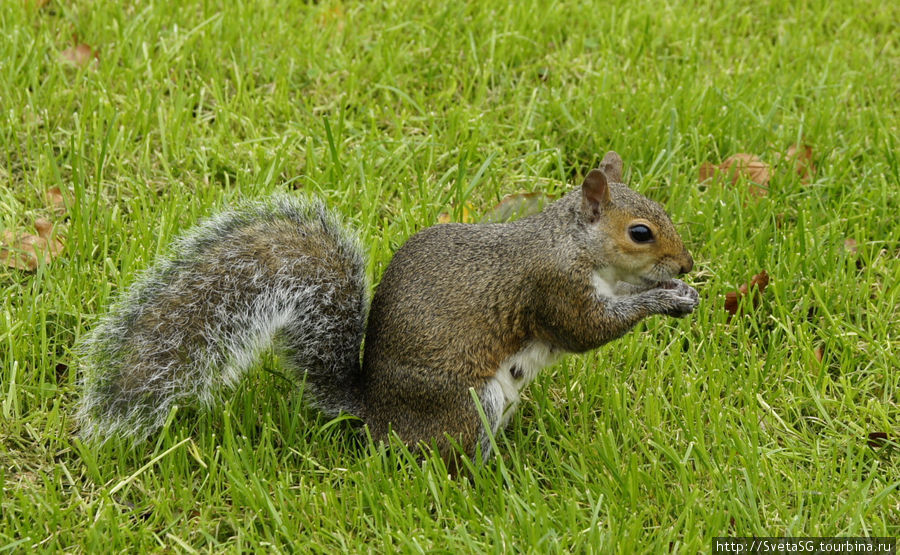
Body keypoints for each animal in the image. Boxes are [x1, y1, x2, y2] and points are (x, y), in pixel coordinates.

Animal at [77, 152, 700, 464]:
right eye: (640, 233)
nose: (688, 264)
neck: (573, 243)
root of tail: (377, 416)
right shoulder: (554, 288)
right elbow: (587, 330)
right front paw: (665, 298)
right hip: (466, 403)